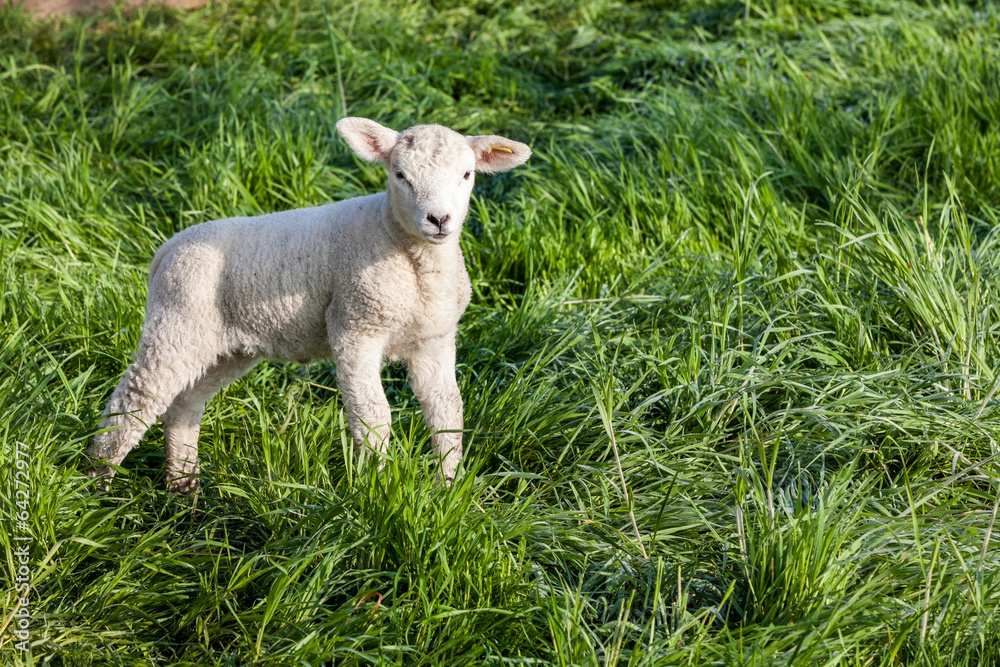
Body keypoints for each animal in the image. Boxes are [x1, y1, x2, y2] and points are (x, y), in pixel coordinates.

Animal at [87, 117, 531, 493]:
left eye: (467, 175)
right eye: (400, 175)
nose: (438, 220)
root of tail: (167, 248)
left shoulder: (434, 340)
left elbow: (447, 413)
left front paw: (447, 488)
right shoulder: (354, 327)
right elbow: (373, 416)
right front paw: (377, 489)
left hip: (223, 346)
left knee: (182, 406)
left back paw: (183, 486)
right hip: (175, 324)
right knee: (133, 401)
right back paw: (97, 485)